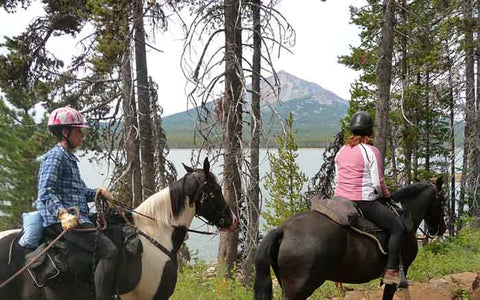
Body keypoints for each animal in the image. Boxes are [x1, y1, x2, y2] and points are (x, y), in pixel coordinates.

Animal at [255, 178, 446, 300]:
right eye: (443, 200)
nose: (441, 229)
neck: (405, 215)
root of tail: (283, 230)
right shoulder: (402, 270)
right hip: (299, 289)